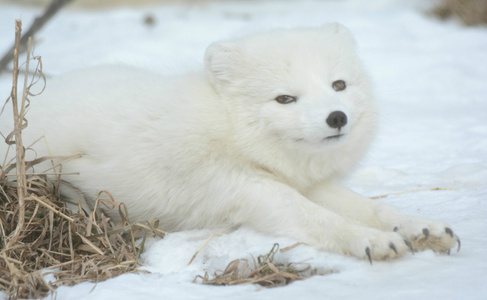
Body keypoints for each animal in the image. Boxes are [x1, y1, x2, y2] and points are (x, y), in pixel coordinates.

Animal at [5, 24, 460, 262]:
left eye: (339, 85)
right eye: (285, 99)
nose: (337, 118)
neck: (227, 127)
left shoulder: (304, 181)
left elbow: (373, 208)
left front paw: (421, 228)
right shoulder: (246, 189)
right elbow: (316, 217)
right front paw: (372, 240)